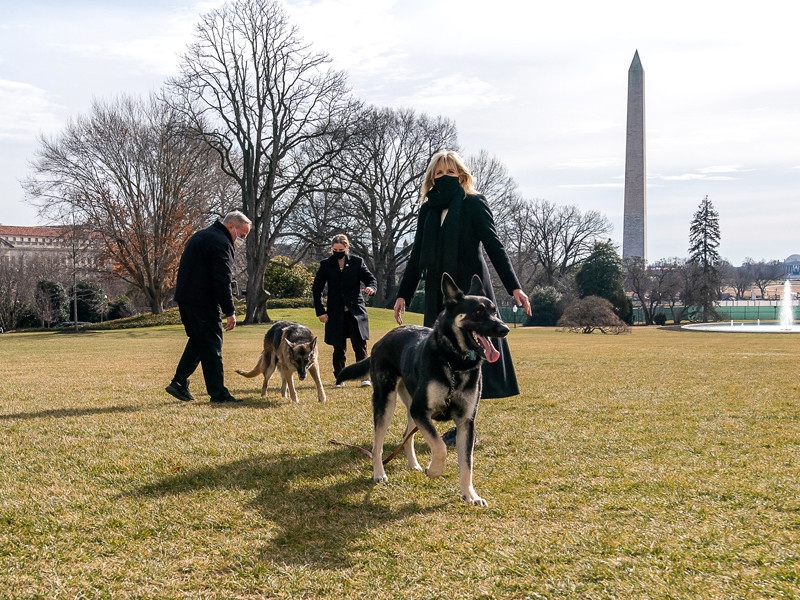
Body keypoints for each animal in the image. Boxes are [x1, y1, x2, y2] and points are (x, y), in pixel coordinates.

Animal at [336, 274, 510, 504]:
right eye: (478, 312)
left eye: (494, 311)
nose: (504, 329)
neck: (454, 362)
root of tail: (383, 338)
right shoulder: (422, 411)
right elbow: (440, 446)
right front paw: (435, 470)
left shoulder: (465, 421)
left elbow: (467, 464)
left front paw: (470, 495)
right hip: (386, 403)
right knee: (377, 445)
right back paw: (379, 473)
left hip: (410, 406)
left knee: (406, 435)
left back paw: (413, 464)